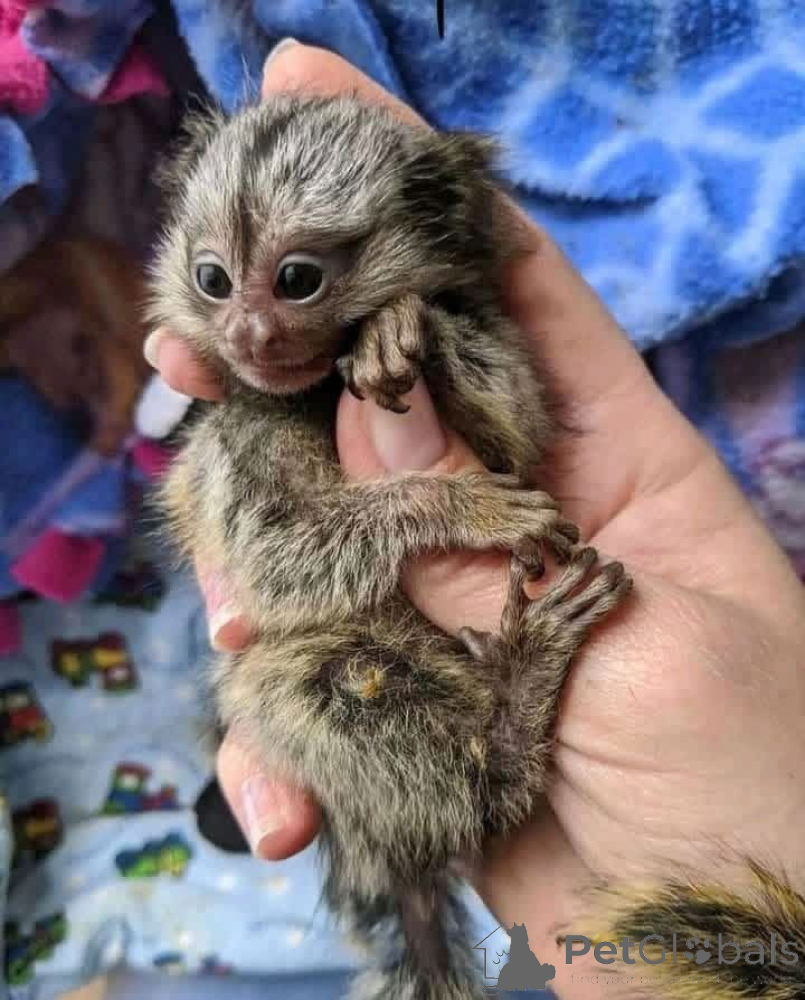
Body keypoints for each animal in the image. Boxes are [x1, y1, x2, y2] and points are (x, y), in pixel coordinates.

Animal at [148, 93, 633, 1000]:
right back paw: (511, 726)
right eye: (213, 279)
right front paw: (461, 505)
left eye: (296, 279)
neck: (311, 392)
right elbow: (277, 559)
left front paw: (409, 334)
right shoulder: (231, 434)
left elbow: (520, 433)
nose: (247, 333)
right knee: (320, 687)